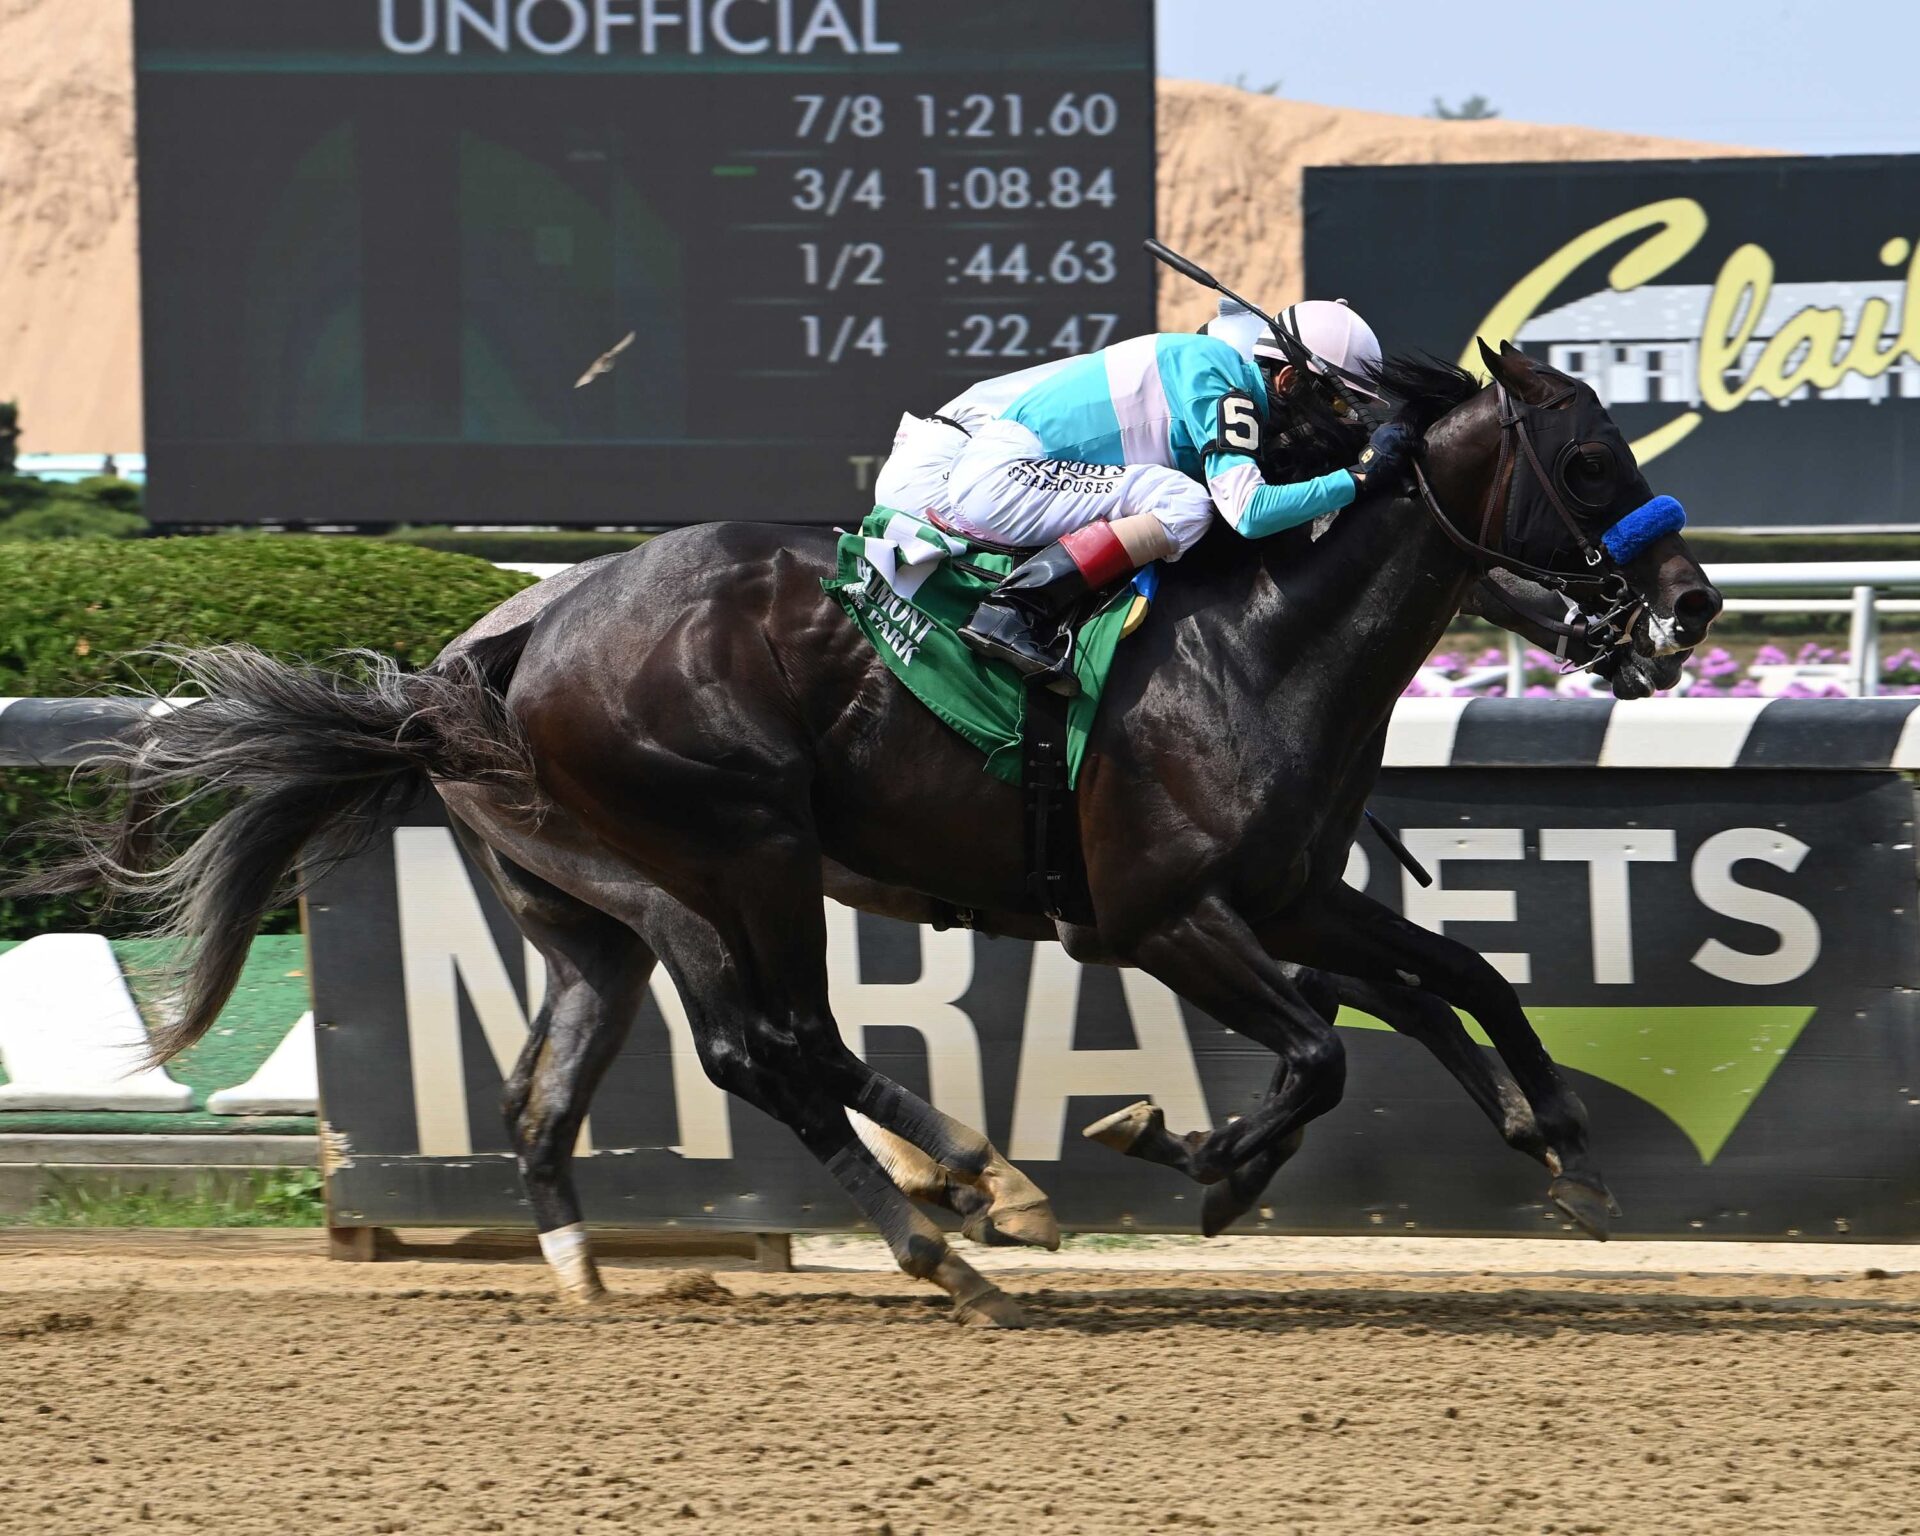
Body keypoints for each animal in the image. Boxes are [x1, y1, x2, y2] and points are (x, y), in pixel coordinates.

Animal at [22, 341, 1720, 1326]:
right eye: (1591, 461)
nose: (1692, 607)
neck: (1259, 641)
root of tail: (507, 647)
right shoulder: (1161, 915)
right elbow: (1320, 1053)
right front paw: (1185, 1151)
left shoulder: (1292, 896)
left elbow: (1461, 980)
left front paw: (1563, 1147)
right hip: (744, 851)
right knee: (770, 1043)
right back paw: (957, 1223)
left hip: (598, 915)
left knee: (570, 1082)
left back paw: (642, 1261)